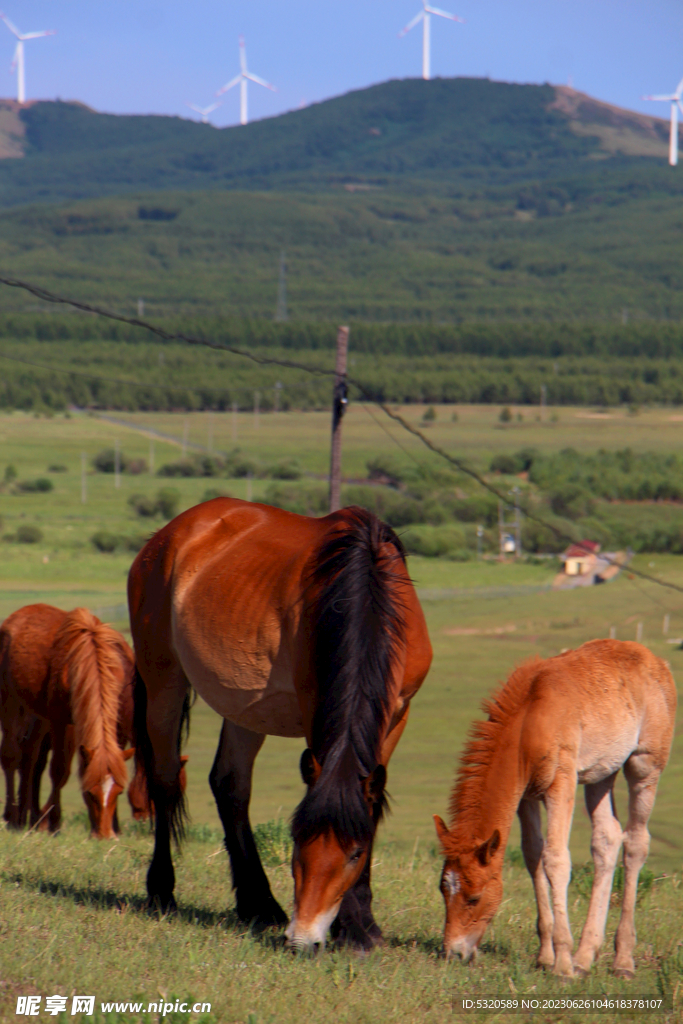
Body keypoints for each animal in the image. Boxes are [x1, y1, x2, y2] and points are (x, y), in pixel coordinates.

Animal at [0, 602, 135, 835]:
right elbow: (59, 770)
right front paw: (54, 823)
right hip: (10, 701)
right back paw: (13, 817)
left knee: (29, 759)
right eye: (90, 792)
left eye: (118, 792)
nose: (105, 835)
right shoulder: (61, 721)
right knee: (11, 756)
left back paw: (27, 817)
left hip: (37, 715)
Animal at [129, 499, 432, 946]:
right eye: (298, 840)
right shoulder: (315, 706)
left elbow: (371, 806)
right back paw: (162, 891)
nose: (303, 937)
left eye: (355, 853)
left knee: (230, 785)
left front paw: (363, 926)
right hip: (163, 680)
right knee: (165, 780)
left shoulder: (398, 713)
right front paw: (353, 927)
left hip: (244, 706)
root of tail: (168, 535)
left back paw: (258, 904)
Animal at [436, 634, 675, 978]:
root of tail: (658, 662)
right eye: (443, 889)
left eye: (474, 897)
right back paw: (585, 956)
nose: (453, 953)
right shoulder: (525, 795)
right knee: (607, 839)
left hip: (645, 764)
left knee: (636, 843)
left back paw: (622, 960)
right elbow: (533, 854)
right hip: (601, 773)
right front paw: (546, 956)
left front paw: (562, 964)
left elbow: (556, 859)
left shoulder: (560, 782)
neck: (530, 717)